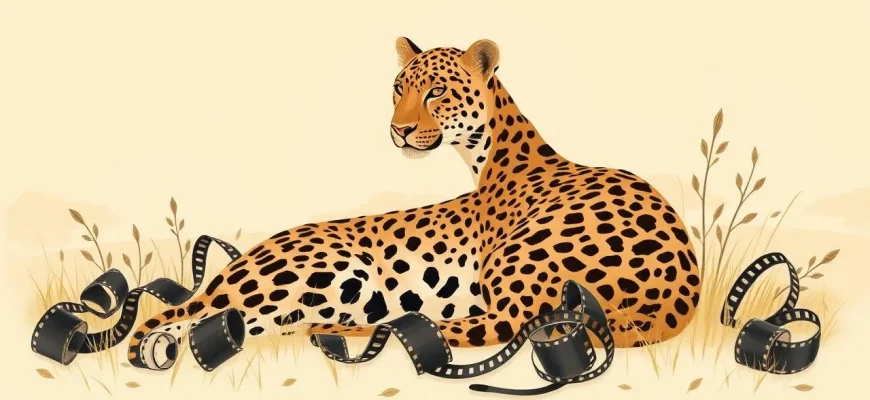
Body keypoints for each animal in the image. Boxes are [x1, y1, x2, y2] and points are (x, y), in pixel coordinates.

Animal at [127, 37, 701, 368]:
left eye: (437, 93)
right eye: (398, 88)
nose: (398, 129)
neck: (490, 155)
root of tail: (673, 297)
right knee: (186, 316)